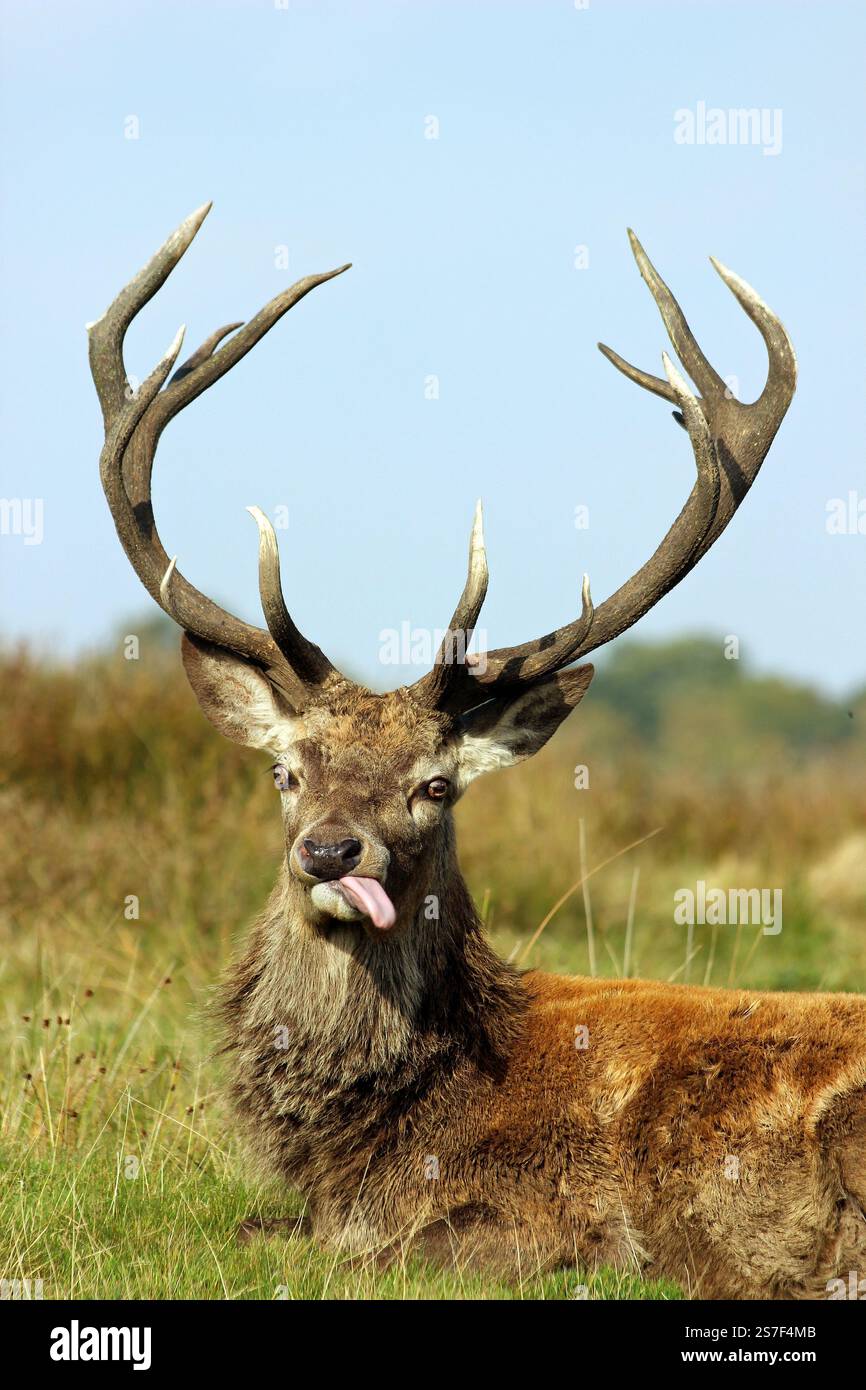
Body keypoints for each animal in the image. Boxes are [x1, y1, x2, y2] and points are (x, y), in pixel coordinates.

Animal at [88, 204, 865, 1299]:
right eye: (286, 772)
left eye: (435, 784)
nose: (331, 850)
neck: (373, 1134)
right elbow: (249, 1228)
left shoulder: (554, 1220)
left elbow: (379, 1254)